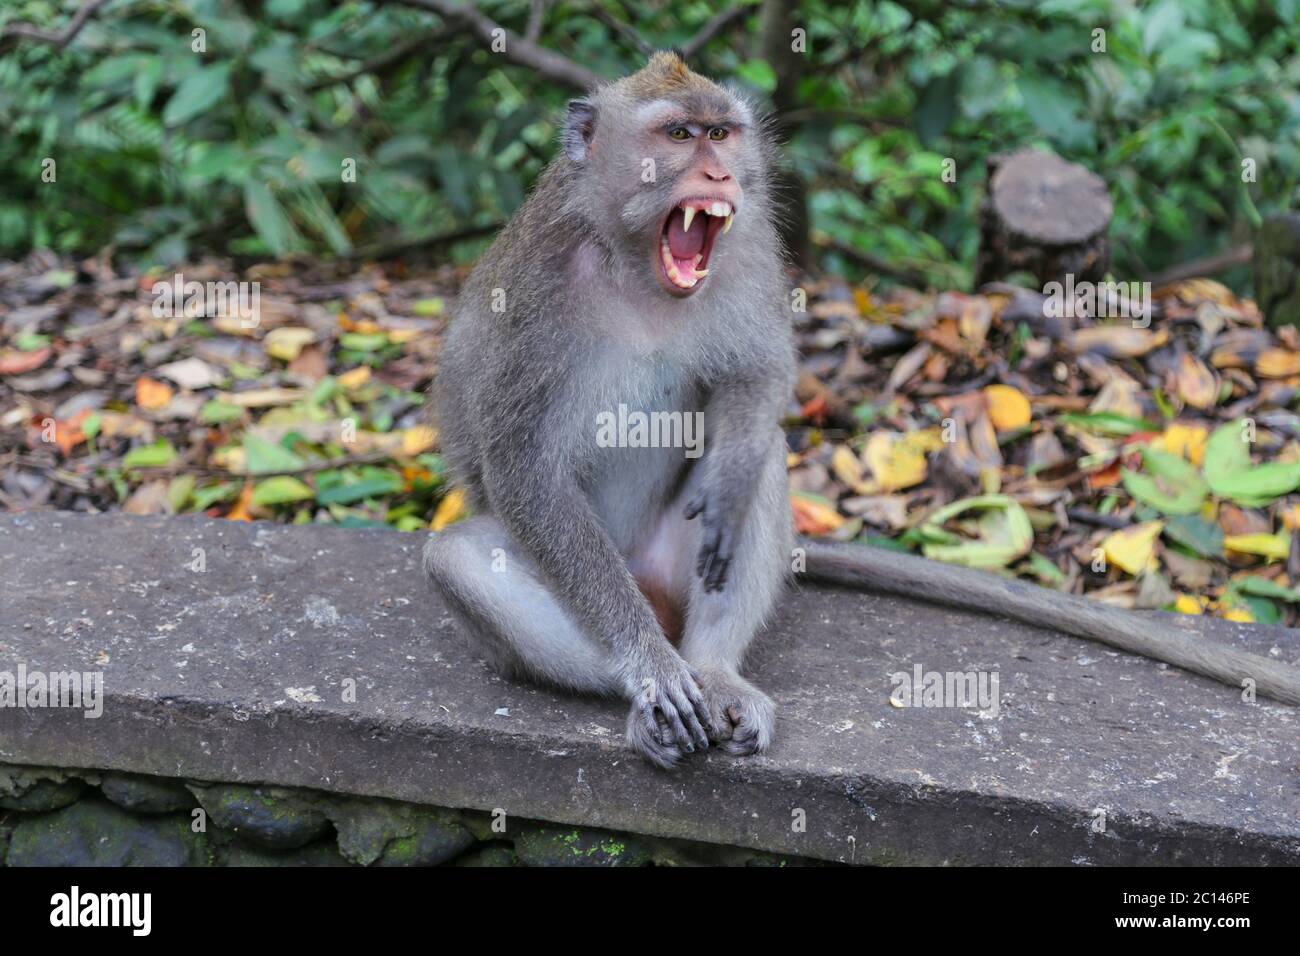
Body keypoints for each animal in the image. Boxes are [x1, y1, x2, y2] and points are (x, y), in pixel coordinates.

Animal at [424, 53, 1300, 772]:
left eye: (721, 133)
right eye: (678, 135)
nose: (720, 179)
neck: (636, 264)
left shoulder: (749, 246)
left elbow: (758, 378)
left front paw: (731, 478)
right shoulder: (535, 292)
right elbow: (523, 468)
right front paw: (650, 670)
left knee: (758, 469)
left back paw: (715, 669)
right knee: (459, 559)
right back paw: (655, 692)